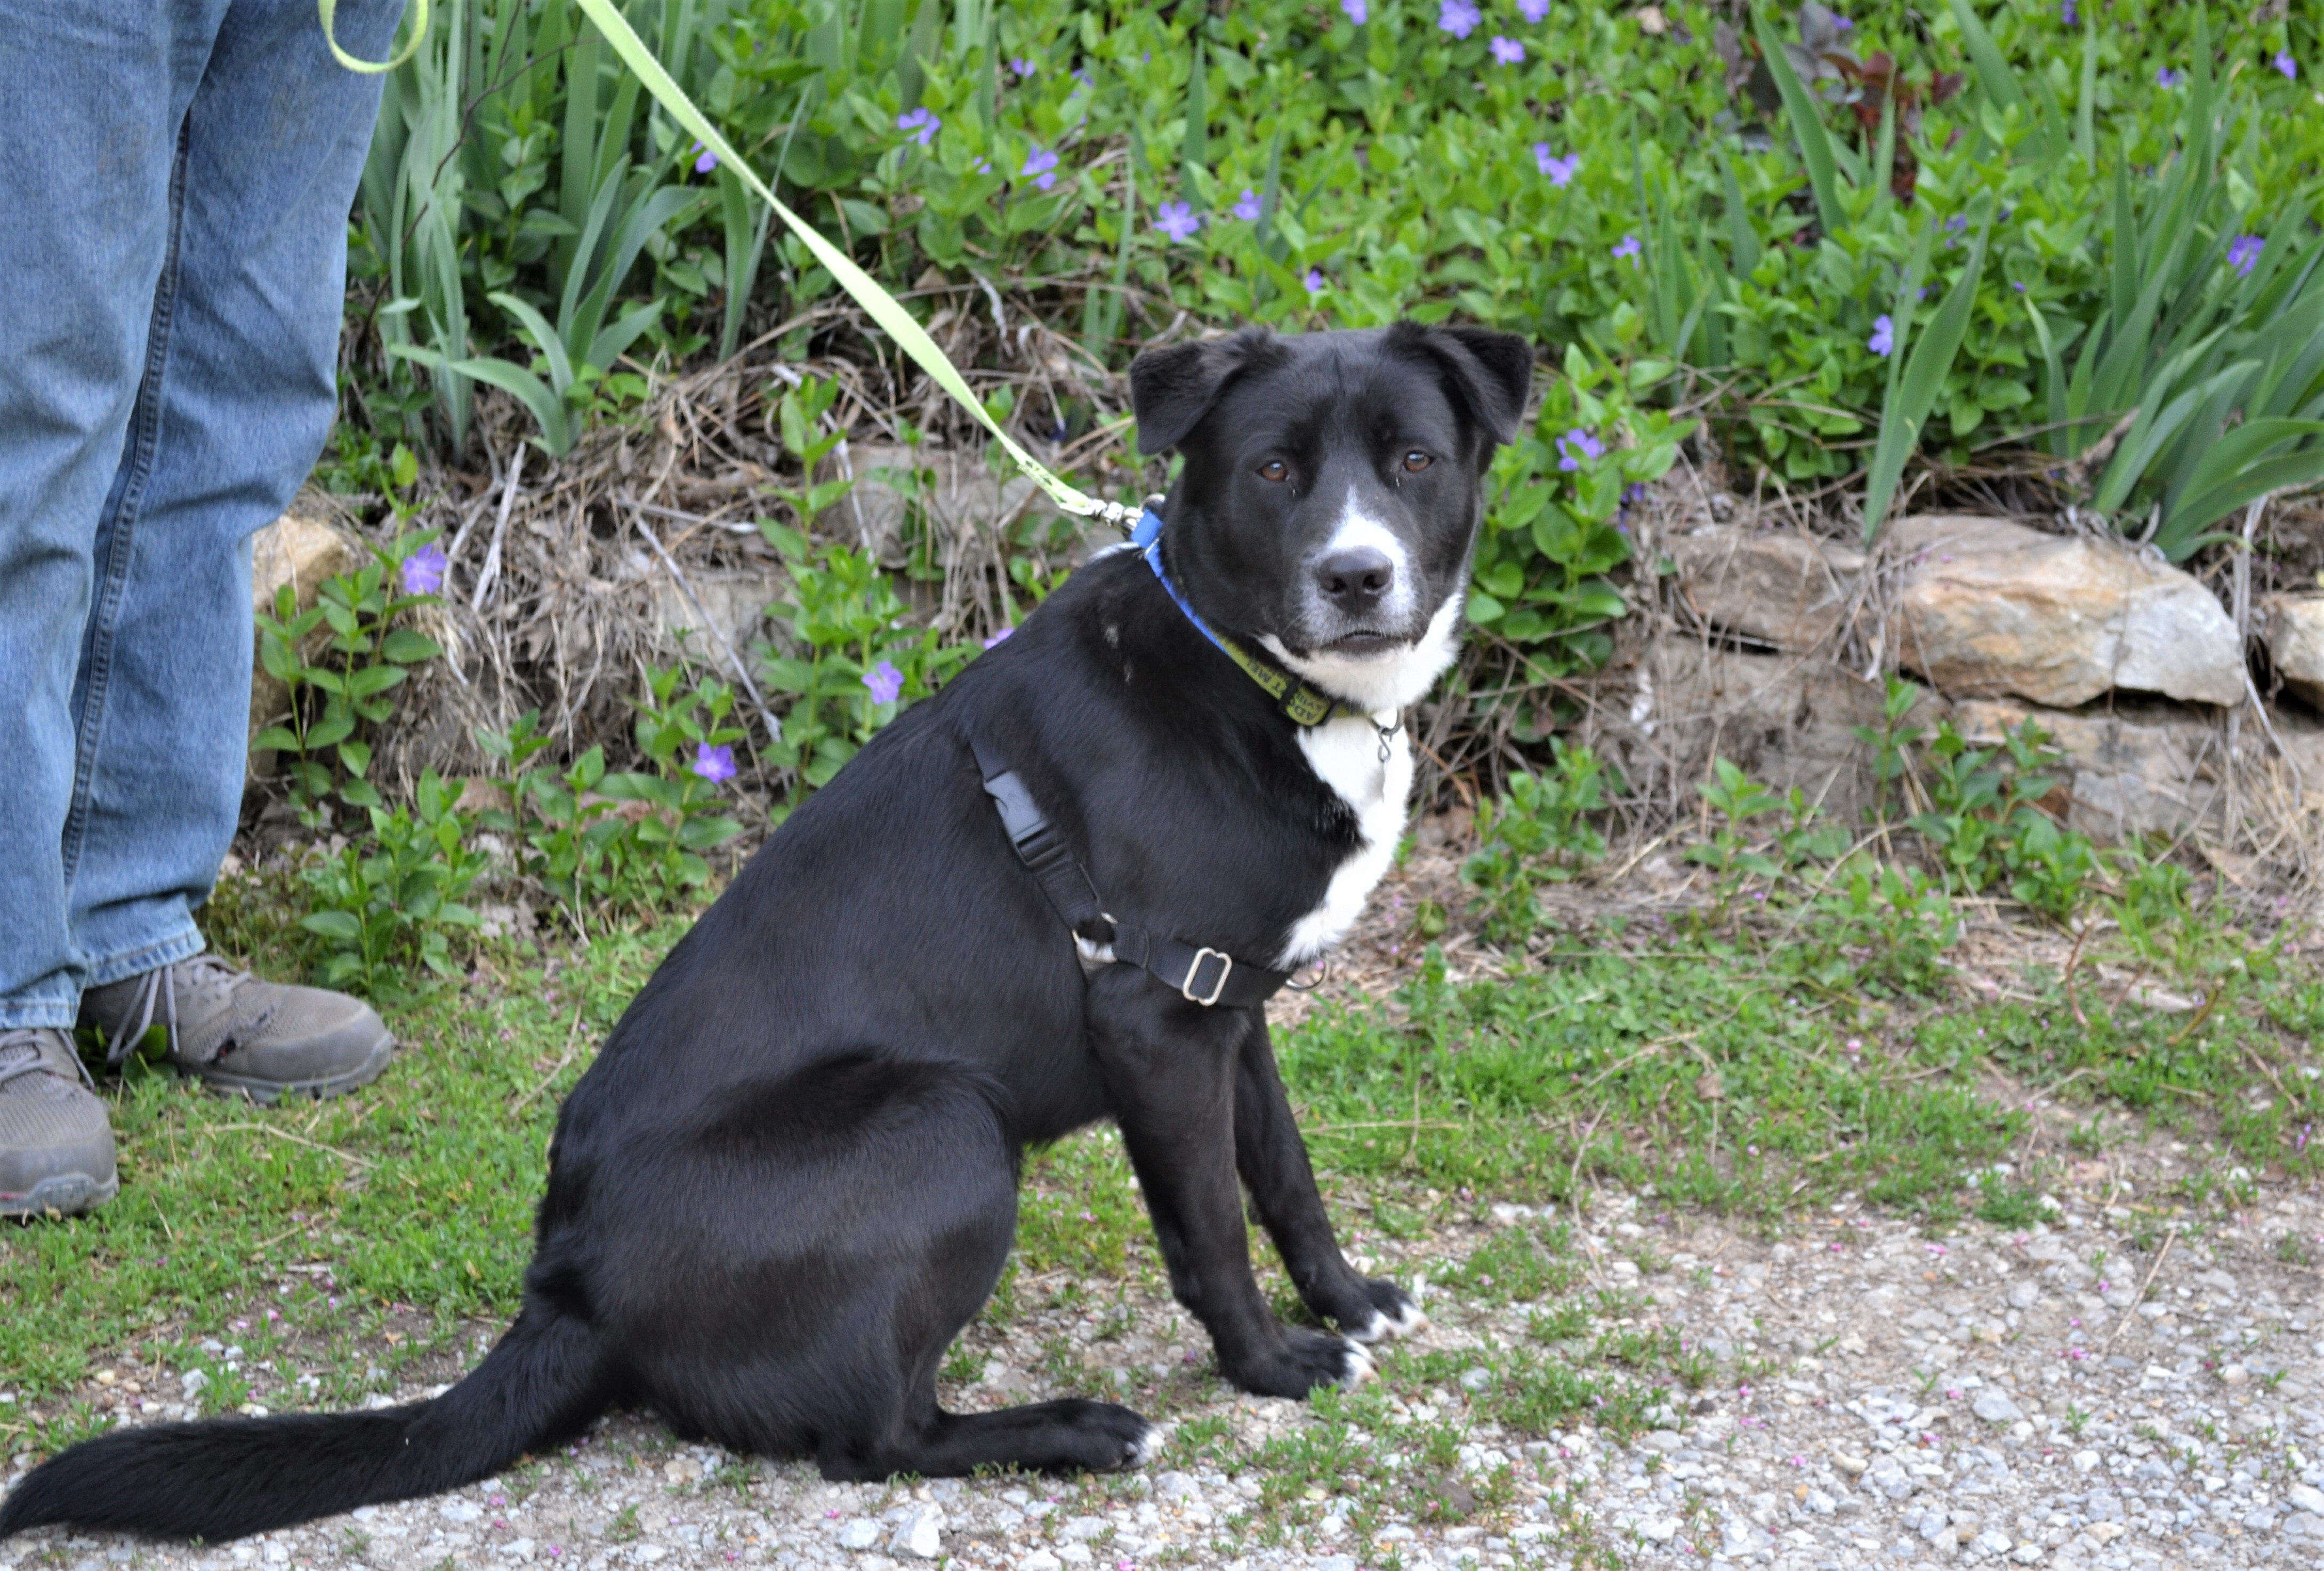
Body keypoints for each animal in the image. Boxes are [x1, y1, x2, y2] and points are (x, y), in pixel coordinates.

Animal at [0, 316, 1533, 1534]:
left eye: (1410, 460)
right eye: (1272, 470)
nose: (1356, 576)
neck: (1245, 674)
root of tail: (570, 1284)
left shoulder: (1230, 1008)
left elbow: (1283, 1176)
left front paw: (1345, 1302)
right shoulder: (1158, 1023)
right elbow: (1209, 1227)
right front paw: (1270, 1369)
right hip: (944, 1124)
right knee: (875, 1439)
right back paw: (1068, 1430)